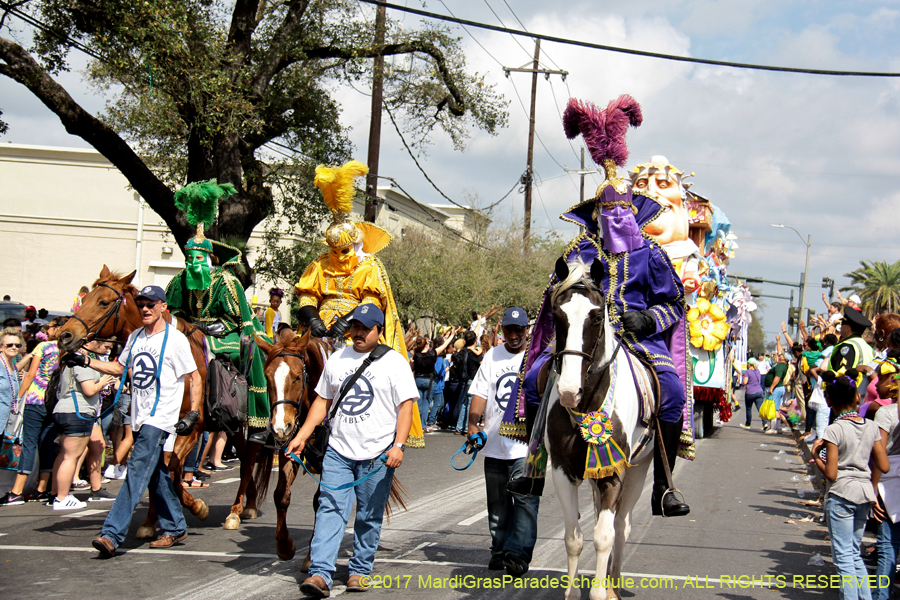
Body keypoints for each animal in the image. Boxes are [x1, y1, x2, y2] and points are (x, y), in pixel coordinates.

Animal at [544, 258, 656, 600]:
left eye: (595, 316)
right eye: (557, 314)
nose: (568, 390)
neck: (587, 405)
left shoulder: (613, 473)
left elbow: (604, 536)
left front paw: (599, 591)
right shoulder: (563, 470)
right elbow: (574, 537)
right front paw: (571, 593)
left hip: (639, 469)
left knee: (621, 526)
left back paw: (613, 585)